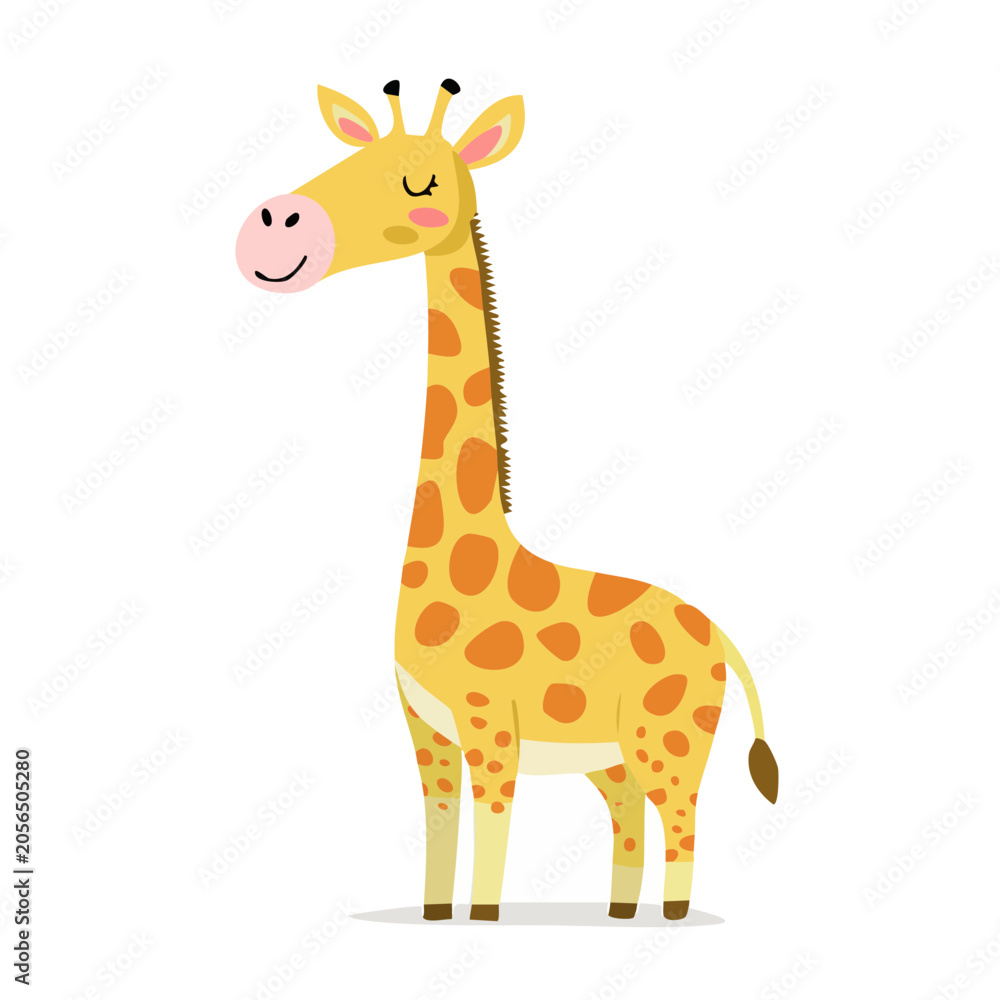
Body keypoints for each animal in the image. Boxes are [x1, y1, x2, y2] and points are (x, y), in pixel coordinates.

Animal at [235, 80, 779, 923]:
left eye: (419, 184)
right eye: (350, 157)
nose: (273, 224)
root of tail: (722, 637)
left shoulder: (492, 725)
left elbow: (493, 827)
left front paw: (483, 920)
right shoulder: (424, 727)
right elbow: (439, 824)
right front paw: (435, 917)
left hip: (671, 738)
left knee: (683, 818)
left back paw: (671, 918)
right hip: (612, 754)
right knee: (629, 814)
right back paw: (618, 916)